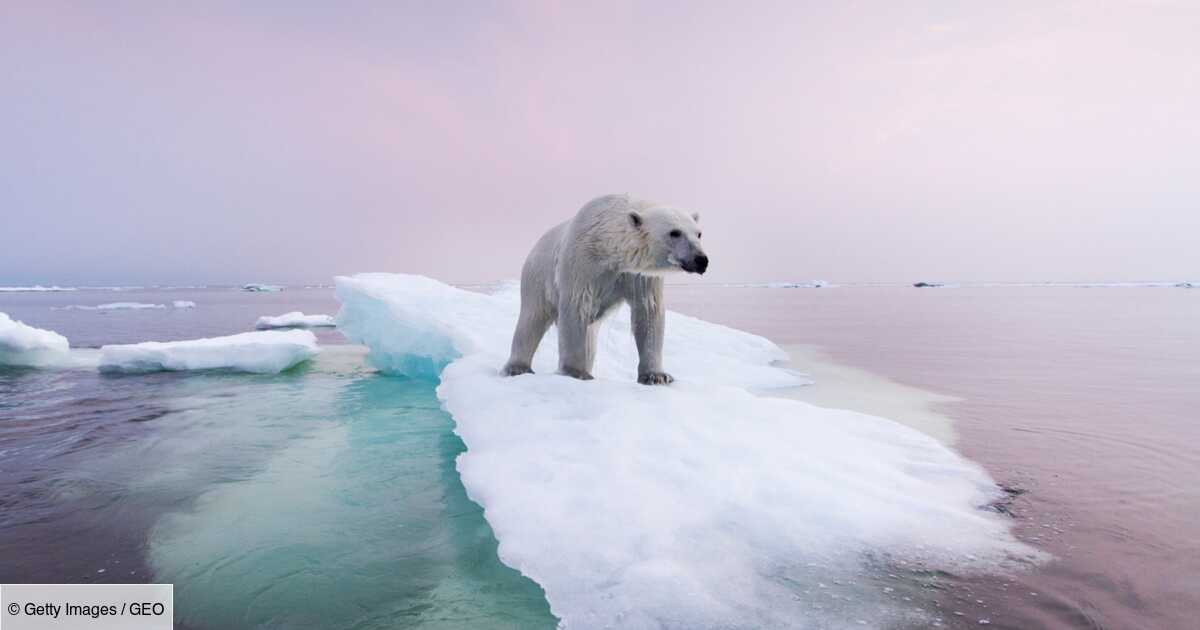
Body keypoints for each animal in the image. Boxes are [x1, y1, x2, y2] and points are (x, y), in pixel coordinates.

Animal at [501, 195, 705, 384]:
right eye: (674, 232)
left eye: (699, 233)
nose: (701, 260)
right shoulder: (581, 263)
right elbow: (576, 306)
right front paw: (576, 372)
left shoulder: (639, 276)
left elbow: (648, 311)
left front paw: (656, 376)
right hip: (538, 277)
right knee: (532, 319)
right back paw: (517, 367)